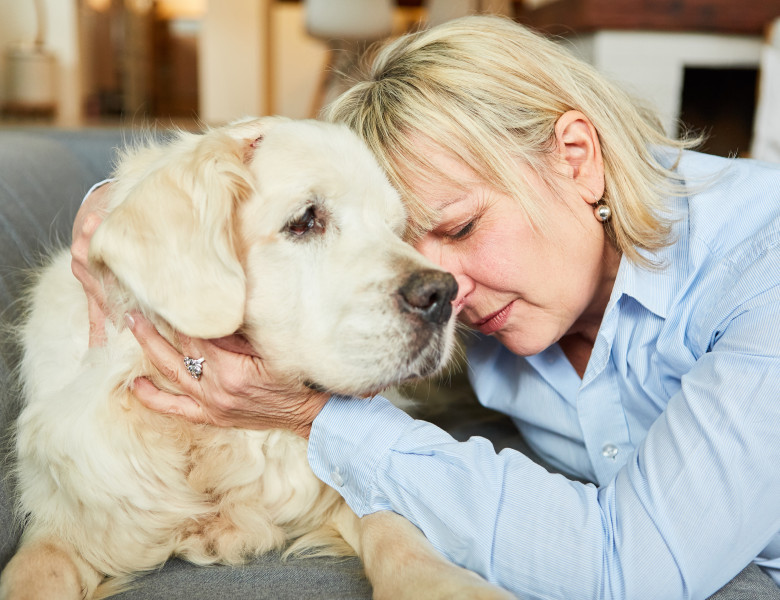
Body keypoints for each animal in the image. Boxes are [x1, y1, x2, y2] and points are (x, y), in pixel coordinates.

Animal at [0, 118, 512, 600]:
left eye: (395, 231)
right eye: (304, 220)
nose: (442, 294)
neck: (206, 439)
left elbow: (395, 527)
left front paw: (445, 585)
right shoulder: (67, 517)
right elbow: (34, 571)